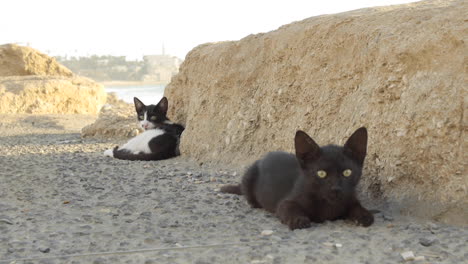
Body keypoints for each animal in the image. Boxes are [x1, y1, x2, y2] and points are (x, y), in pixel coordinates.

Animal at [220, 127, 372, 229]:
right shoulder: (285, 202)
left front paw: (364, 215)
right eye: (321, 173)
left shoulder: (350, 197)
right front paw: (298, 220)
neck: (329, 205)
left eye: (347, 172)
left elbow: (356, 206)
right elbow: (289, 208)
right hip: (249, 177)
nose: (336, 188)